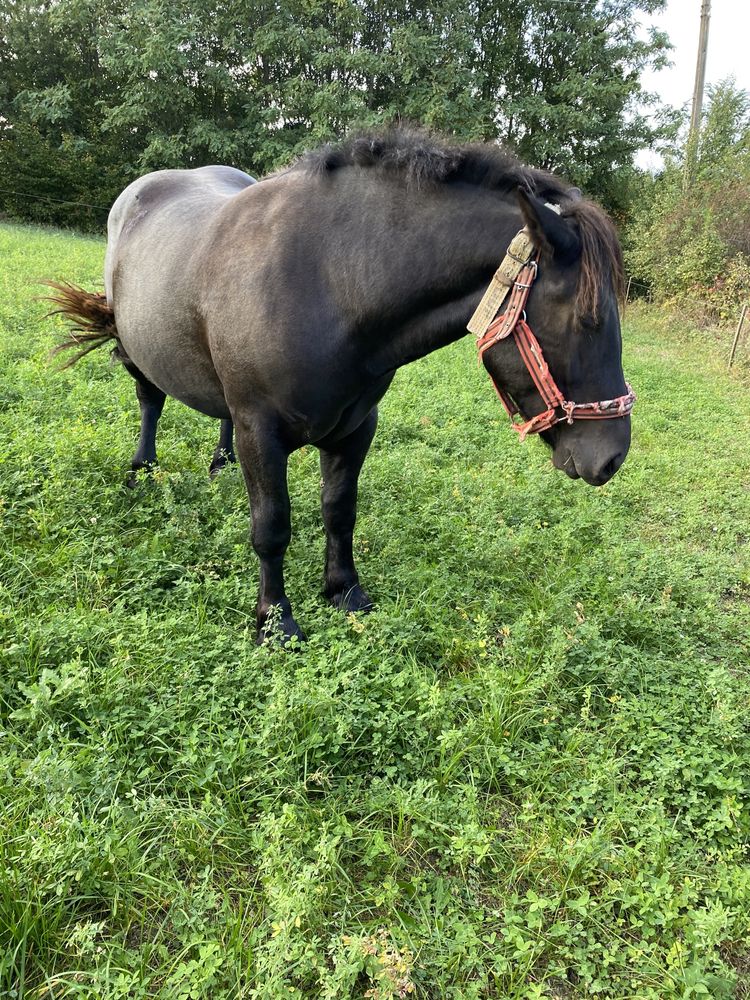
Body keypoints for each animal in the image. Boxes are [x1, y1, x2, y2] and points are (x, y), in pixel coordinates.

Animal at [47, 127, 636, 640]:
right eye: (588, 320)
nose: (611, 458)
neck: (330, 281)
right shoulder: (261, 431)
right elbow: (272, 526)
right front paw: (275, 621)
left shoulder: (354, 430)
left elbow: (339, 510)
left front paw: (343, 591)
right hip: (137, 353)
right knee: (150, 401)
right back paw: (142, 470)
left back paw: (221, 463)